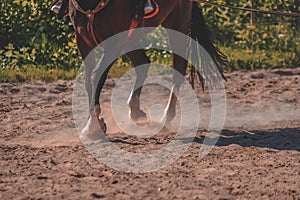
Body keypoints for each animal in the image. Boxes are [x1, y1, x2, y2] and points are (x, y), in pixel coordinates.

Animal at [56, 0, 226, 137]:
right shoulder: (82, 39)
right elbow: (87, 79)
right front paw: (94, 122)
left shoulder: (114, 41)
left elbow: (96, 75)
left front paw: (93, 125)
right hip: (131, 37)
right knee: (142, 63)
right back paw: (135, 110)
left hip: (177, 24)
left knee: (178, 67)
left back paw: (165, 117)